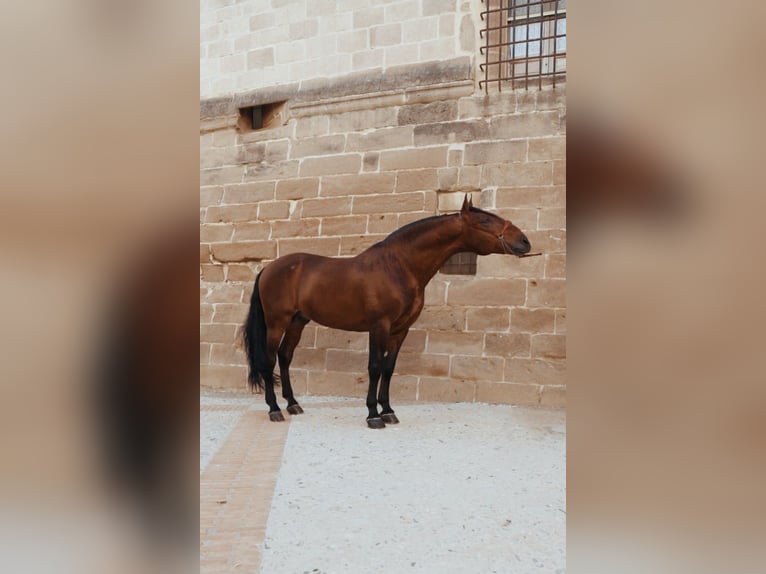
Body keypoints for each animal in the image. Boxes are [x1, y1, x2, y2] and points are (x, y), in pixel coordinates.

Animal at [246, 196, 536, 430]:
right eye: (485, 220)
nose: (524, 241)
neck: (399, 267)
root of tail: (269, 268)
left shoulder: (400, 330)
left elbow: (388, 368)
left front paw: (388, 411)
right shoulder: (379, 326)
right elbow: (374, 367)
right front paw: (373, 415)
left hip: (298, 321)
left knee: (285, 357)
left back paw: (293, 404)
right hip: (277, 323)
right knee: (269, 360)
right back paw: (274, 409)